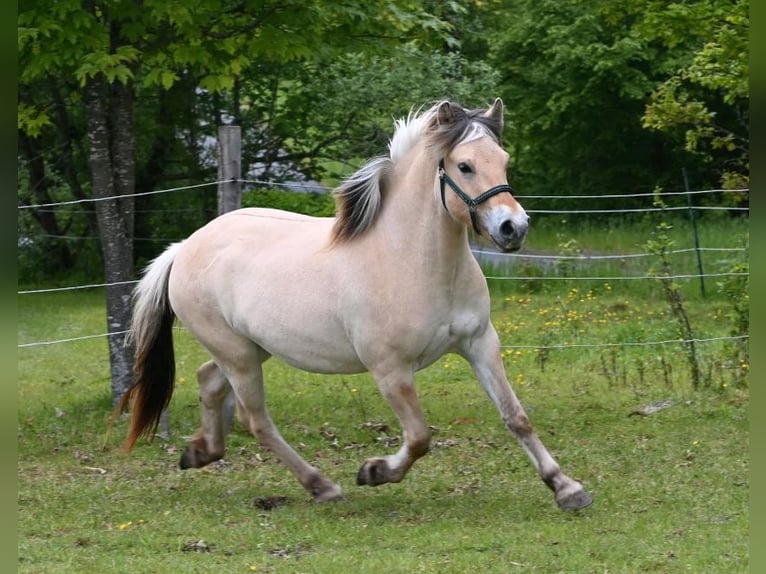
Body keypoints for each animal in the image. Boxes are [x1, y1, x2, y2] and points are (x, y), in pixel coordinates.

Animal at [119, 98, 593, 510]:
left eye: (504, 160)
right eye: (465, 165)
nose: (513, 228)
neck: (412, 261)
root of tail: (184, 247)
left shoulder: (480, 344)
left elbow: (516, 416)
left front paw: (566, 488)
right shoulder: (390, 371)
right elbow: (419, 437)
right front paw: (374, 471)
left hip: (251, 348)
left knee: (209, 380)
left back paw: (201, 451)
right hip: (239, 356)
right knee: (257, 421)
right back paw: (321, 486)